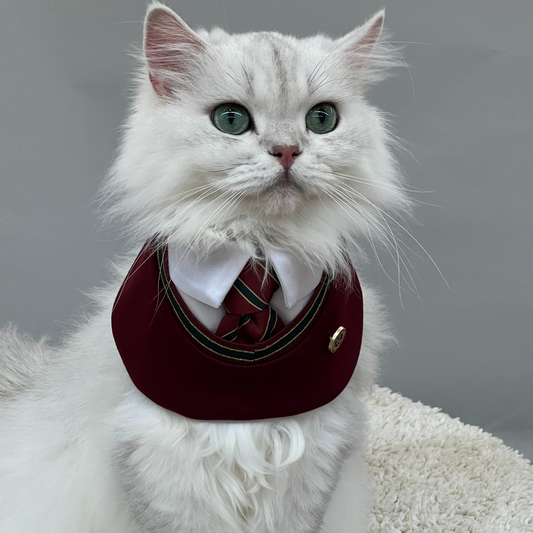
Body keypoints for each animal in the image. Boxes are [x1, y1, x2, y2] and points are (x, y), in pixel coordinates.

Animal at [0, 2, 408, 528]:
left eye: (322, 119)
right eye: (231, 120)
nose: (288, 151)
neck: (257, 252)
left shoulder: (315, 449)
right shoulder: (156, 451)